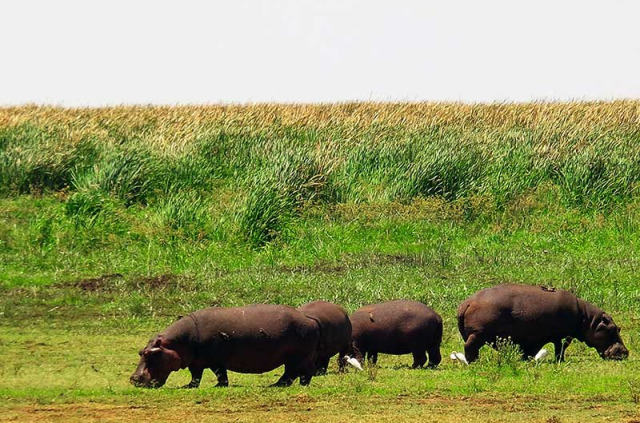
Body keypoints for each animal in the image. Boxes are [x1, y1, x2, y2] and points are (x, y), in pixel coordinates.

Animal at [131, 304, 320, 390]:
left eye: (151, 353)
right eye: (140, 352)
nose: (134, 379)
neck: (176, 342)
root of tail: (309, 319)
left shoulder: (215, 361)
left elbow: (220, 374)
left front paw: (218, 386)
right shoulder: (196, 361)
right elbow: (196, 376)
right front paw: (188, 386)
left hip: (296, 357)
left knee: (294, 372)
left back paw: (276, 385)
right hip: (295, 357)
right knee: (298, 373)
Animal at [456, 284, 632, 362]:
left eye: (619, 328)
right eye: (613, 328)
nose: (625, 352)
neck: (588, 319)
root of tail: (467, 303)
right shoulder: (562, 336)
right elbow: (561, 348)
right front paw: (560, 361)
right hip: (478, 335)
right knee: (469, 347)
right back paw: (474, 361)